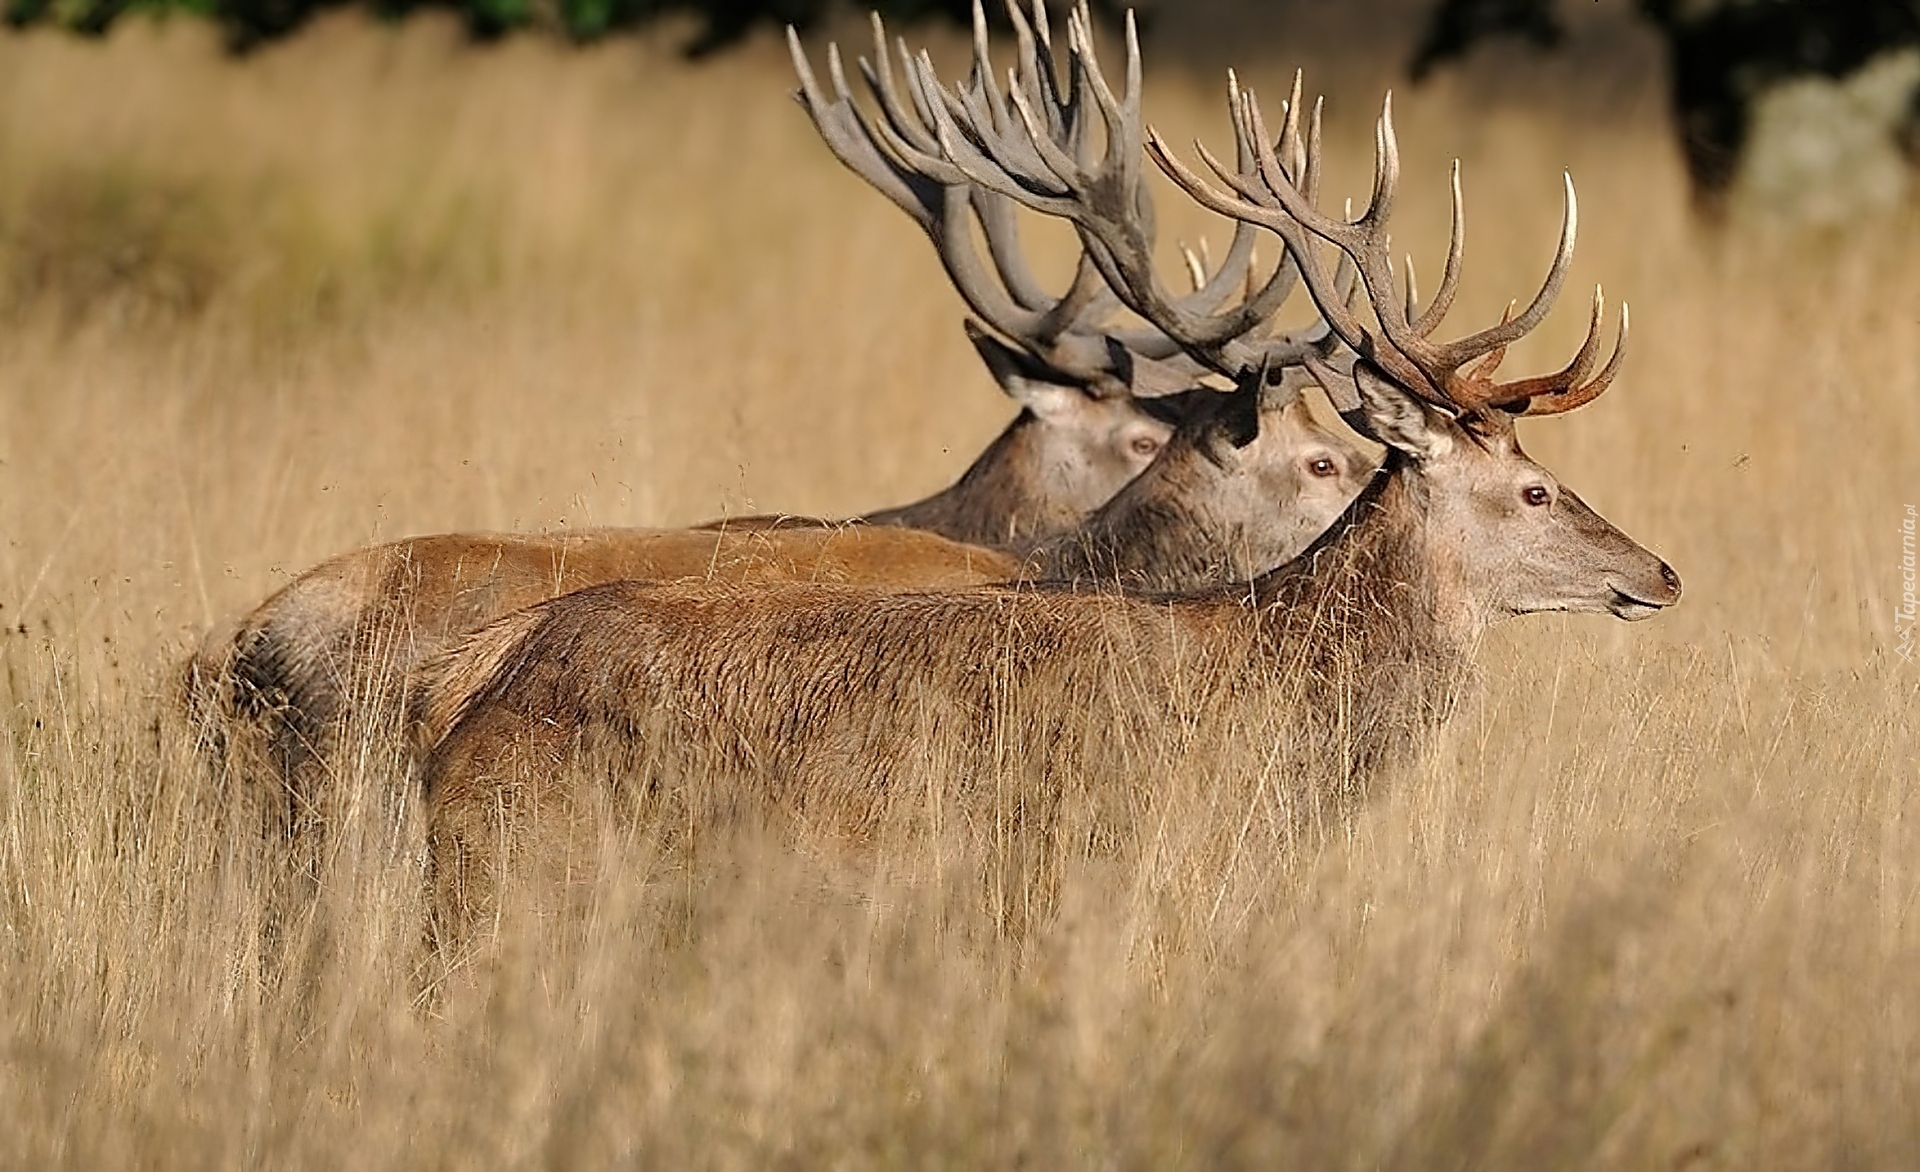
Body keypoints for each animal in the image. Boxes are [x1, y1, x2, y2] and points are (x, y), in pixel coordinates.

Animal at [408, 4, 1681, 945]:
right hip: (518, 880)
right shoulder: (1106, 877)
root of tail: (459, 701)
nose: (1662, 572)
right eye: (1533, 488)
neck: (1272, 713)